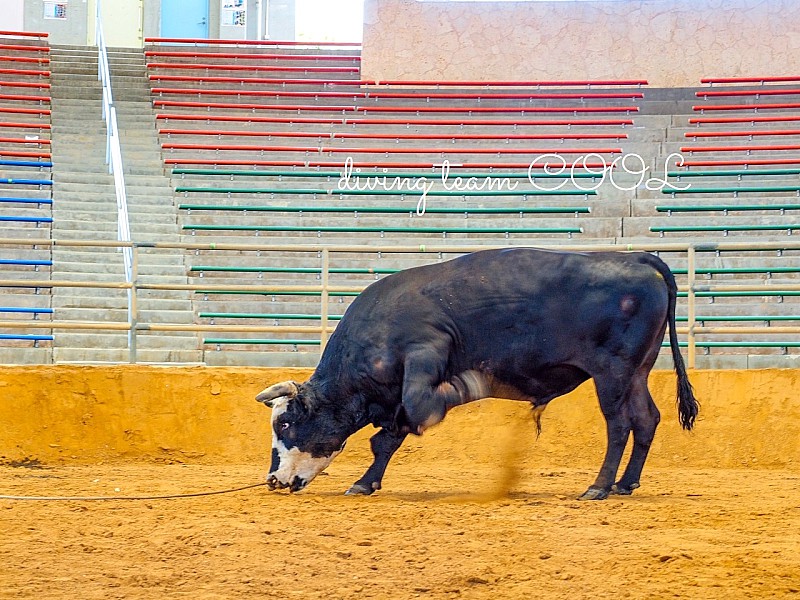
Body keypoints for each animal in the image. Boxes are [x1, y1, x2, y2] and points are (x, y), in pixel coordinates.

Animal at [258, 246, 700, 500]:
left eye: (285, 424)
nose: (273, 480)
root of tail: (636, 257)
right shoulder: (393, 398)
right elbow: (387, 440)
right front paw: (366, 482)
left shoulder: (422, 357)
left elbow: (418, 409)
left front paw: (467, 384)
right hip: (637, 373)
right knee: (646, 420)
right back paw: (625, 483)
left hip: (613, 373)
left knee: (619, 424)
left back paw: (600, 485)